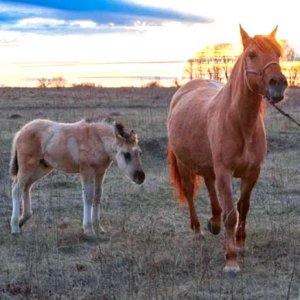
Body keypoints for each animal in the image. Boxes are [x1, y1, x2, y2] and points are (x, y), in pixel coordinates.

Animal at [9, 116, 145, 236]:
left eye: (140, 153)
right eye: (126, 154)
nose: (141, 177)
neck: (98, 141)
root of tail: (21, 131)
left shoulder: (100, 172)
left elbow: (97, 196)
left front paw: (98, 227)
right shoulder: (86, 171)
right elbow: (88, 197)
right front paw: (88, 229)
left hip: (42, 167)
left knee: (27, 186)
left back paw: (22, 220)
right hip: (28, 166)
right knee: (17, 189)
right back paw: (15, 227)